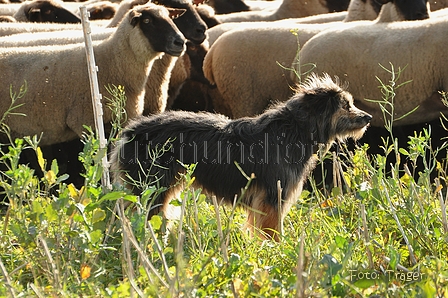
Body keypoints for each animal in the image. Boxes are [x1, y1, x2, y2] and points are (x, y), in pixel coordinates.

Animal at [111, 73, 372, 239]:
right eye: (346, 105)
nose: (368, 117)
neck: (296, 128)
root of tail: (130, 132)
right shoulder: (272, 197)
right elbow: (273, 232)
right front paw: (278, 251)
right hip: (151, 189)